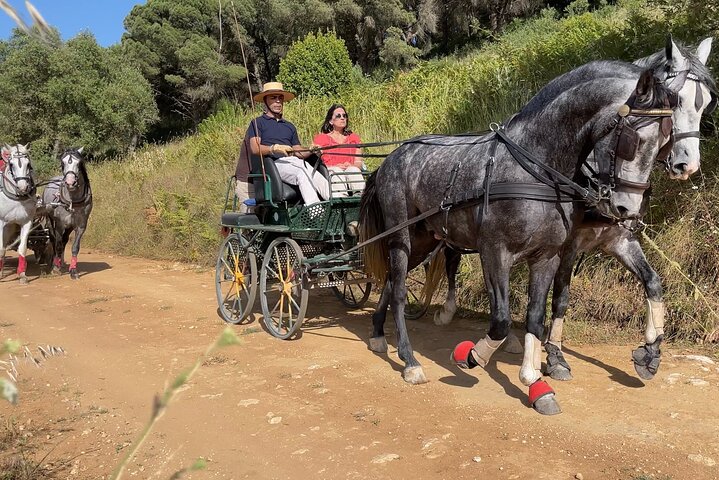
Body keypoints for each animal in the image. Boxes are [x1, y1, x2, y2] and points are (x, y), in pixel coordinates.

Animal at [0, 144, 37, 284]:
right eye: (11, 164)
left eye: (28, 164)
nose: (23, 187)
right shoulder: (0, 223)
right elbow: (0, 249)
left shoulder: (27, 222)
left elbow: (22, 248)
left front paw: (22, 274)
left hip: (10, 227)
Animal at [42, 148, 93, 280]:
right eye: (62, 163)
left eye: (79, 163)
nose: (70, 182)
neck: (72, 201)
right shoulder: (60, 225)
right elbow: (58, 245)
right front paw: (55, 268)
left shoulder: (81, 226)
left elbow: (75, 247)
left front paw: (73, 271)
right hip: (50, 220)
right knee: (55, 240)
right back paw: (55, 263)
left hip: (69, 226)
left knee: (64, 241)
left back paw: (61, 262)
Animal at [360, 59, 680, 412]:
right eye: (634, 139)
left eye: (665, 142)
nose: (628, 209)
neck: (534, 168)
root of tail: (391, 158)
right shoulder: (494, 252)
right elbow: (500, 320)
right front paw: (471, 355)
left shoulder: (548, 256)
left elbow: (536, 316)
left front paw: (535, 382)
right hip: (401, 237)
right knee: (400, 291)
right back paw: (409, 360)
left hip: (423, 239)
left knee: (391, 281)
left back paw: (378, 333)